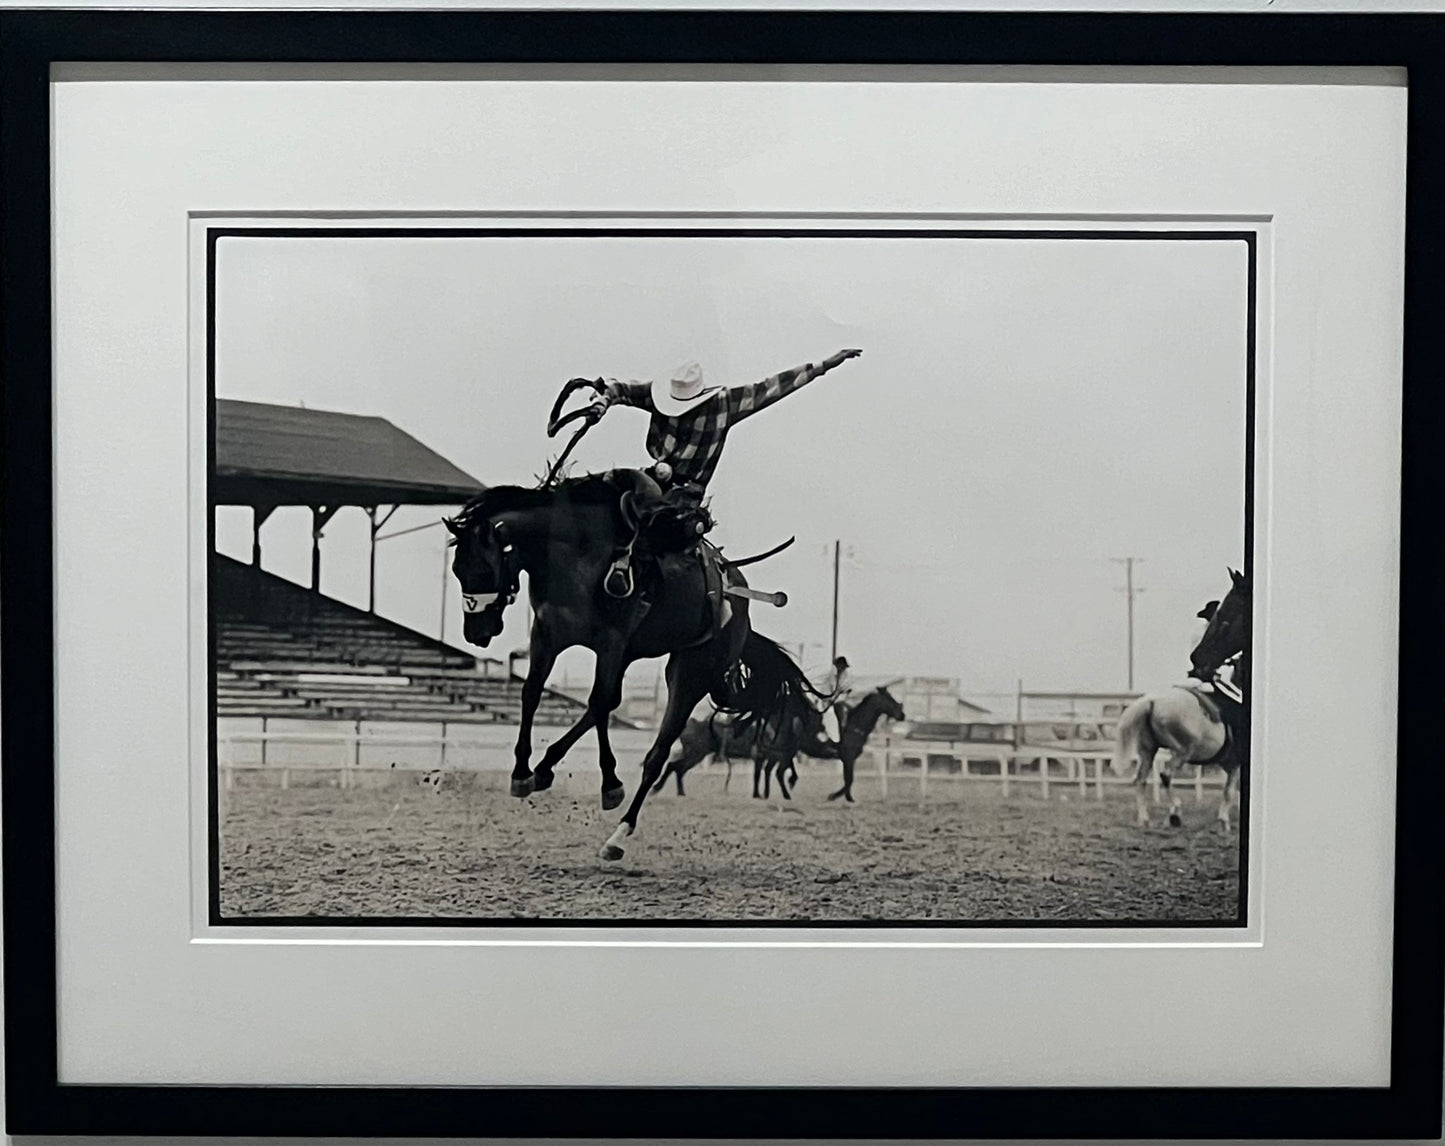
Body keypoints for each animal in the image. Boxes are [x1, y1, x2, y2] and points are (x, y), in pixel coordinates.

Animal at [445, 468, 814, 855]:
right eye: (456, 569)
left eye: (482, 569)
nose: (476, 632)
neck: (577, 551)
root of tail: (739, 603)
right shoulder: (547, 636)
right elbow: (532, 693)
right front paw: (521, 773)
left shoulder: (611, 641)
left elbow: (597, 702)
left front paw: (610, 785)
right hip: (634, 658)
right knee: (611, 705)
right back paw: (546, 767)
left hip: (691, 671)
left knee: (656, 753)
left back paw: (618, 833)